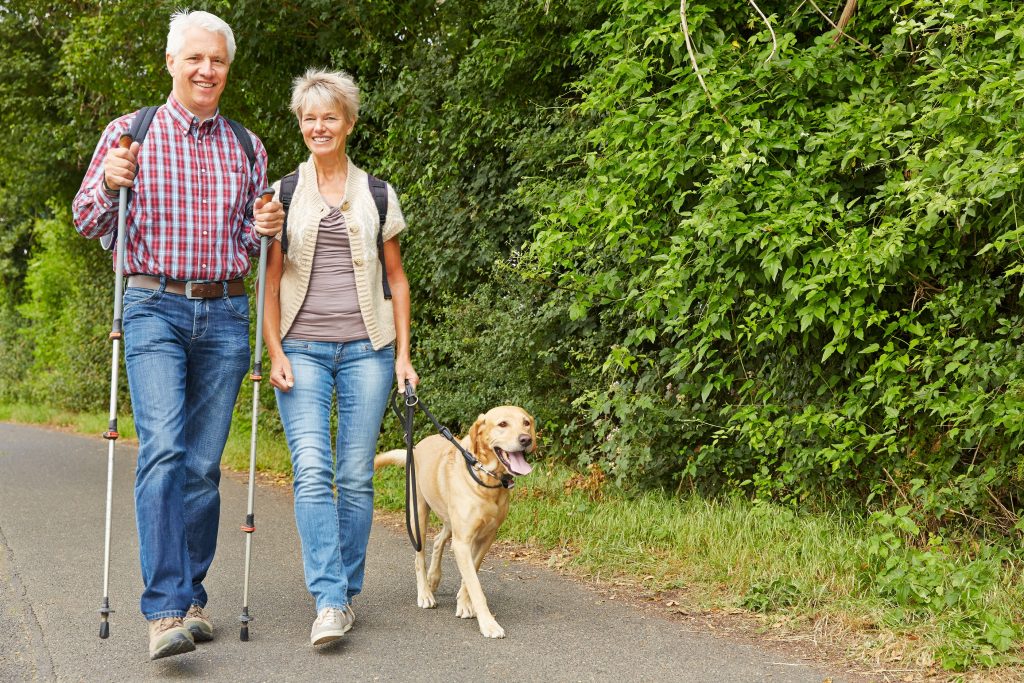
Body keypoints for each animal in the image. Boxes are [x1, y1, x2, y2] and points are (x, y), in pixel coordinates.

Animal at [374, 405, 536, 634]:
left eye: (526, 423)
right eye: (503, 424)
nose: (525, 439)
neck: (485, 479)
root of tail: (415, 447)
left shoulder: (485, 539)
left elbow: (472, 573)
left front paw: (464, 602)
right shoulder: (462, 542)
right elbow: (475, 585)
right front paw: (488, 623)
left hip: (450, 522)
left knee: (438, 541)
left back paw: (434, 577)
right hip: (418, 517)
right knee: (419, 557)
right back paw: (425, 593)